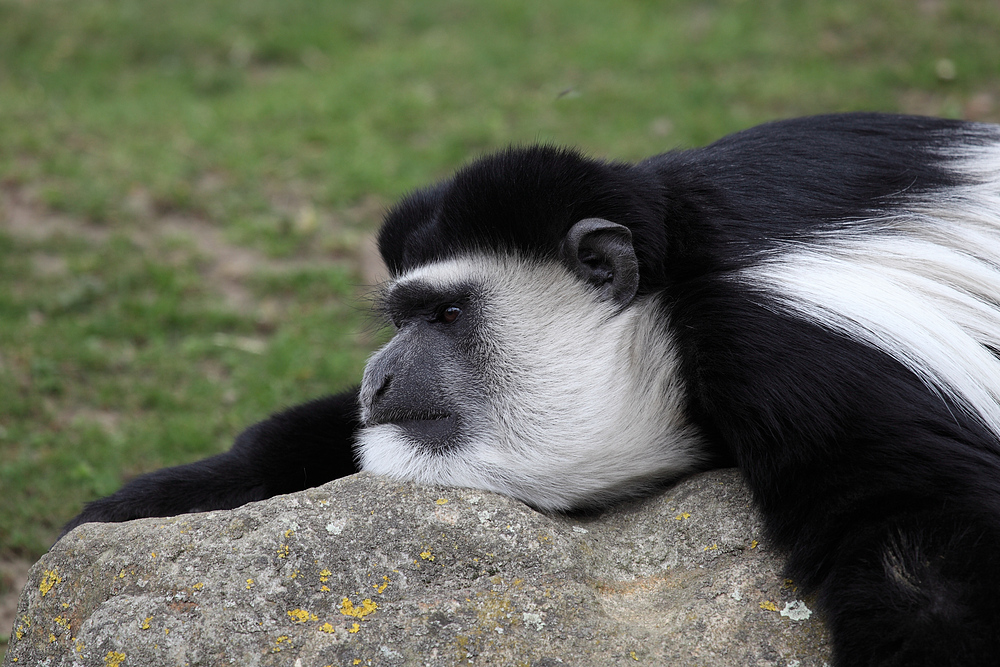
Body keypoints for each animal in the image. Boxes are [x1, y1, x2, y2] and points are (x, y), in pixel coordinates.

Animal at [64, 112, 1000, 664]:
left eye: (446, 315)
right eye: (400, 315)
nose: (378, 377)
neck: (672, 295)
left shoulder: (796, 352)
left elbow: (925, 574)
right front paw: (138, 506)